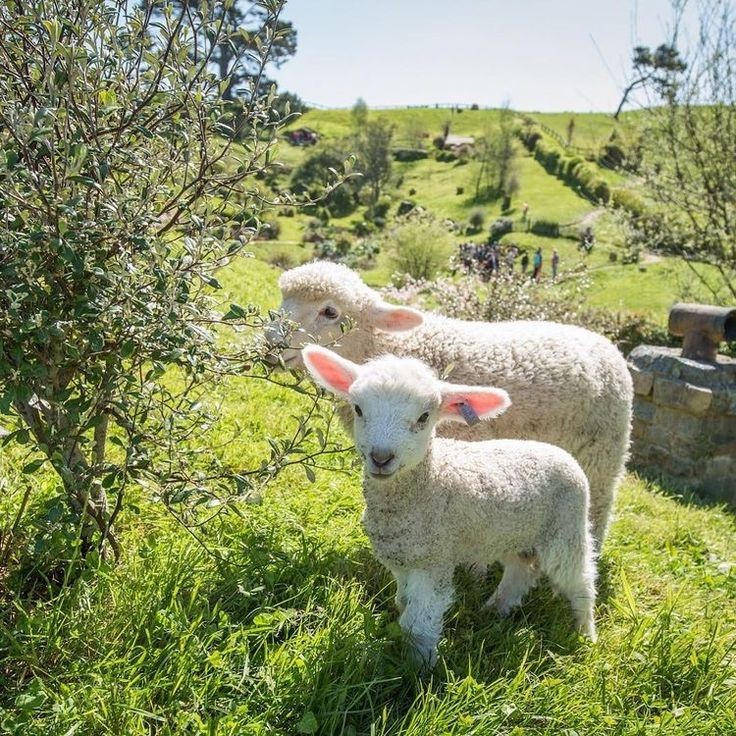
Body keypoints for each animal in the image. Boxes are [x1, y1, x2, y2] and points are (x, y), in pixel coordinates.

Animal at [268, 260, 632, 548]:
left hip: (603, 452)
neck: (393, 345)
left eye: (330, 311)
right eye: (283, 298)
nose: (271, 345)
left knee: (599, 505)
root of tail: (607, 346)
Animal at [302, 344, 596, 668]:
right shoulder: (404, 560)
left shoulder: (435, 559)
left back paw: (585, 634)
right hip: (515, 532)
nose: (381, 458)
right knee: (521, 569)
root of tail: (560, 452)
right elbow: (403, 604)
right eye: (358, 409)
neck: (431, 483)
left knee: (580, 581)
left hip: (567, 528)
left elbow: (419, 622)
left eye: (424, 417)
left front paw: (420, 668)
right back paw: (496, 609)